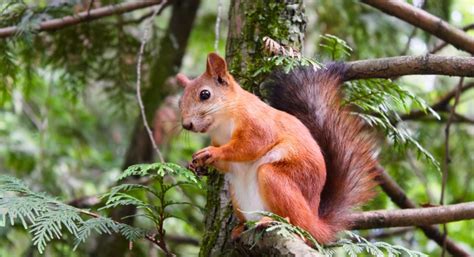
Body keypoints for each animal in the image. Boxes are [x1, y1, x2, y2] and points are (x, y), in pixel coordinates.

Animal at [176, 53, 380, 243]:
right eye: (180, 101)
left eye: (205, 94)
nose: (186, 125)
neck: (223, 123)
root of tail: (315, 223)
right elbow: (228, 164)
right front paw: (197, 164)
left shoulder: (258, 124)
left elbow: (250, 146)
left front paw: (212, 152)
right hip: (238, 194)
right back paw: (240, 228)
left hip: (276, 180)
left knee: (297, 223)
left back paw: (275, 221)